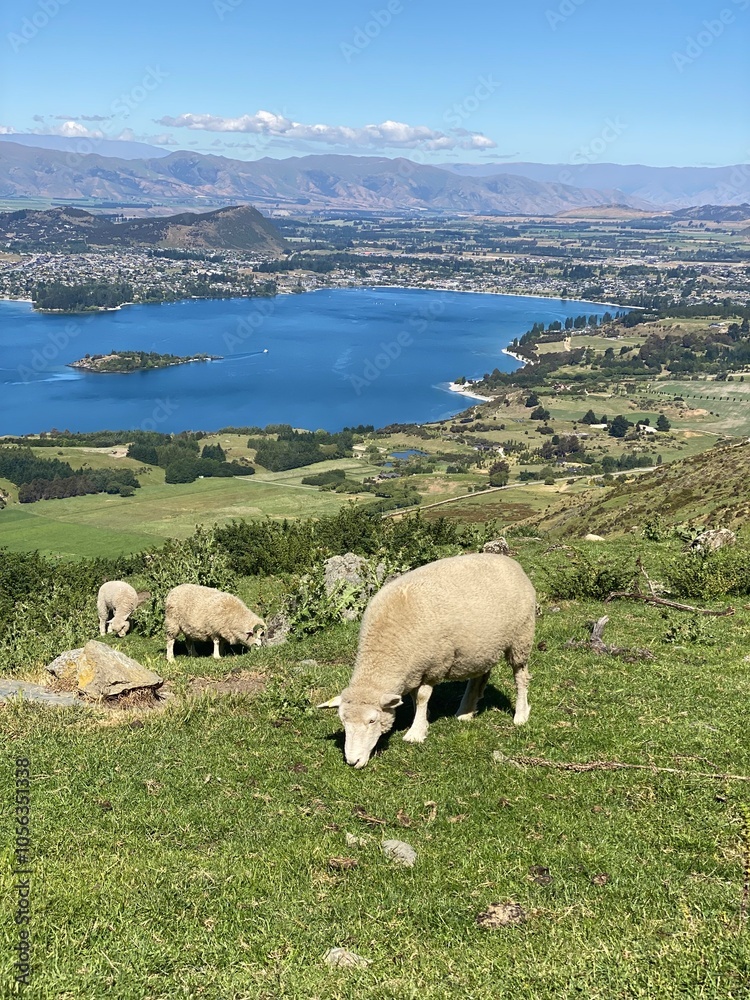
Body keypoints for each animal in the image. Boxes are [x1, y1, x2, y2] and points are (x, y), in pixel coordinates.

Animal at [319, 552, 536, 768]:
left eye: (372, 721)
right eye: (343, 721)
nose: (352, 761)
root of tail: (509, 561)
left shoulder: (434, 666)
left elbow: (422, 696)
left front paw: (416, 732)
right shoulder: (414, 670)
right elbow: (414, 696)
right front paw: (423, 719)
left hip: (521, 637)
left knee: (520, 676)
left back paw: (520, 714)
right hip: (481, 647)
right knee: (480, 676)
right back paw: (465, 711)